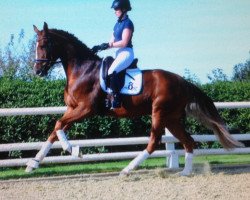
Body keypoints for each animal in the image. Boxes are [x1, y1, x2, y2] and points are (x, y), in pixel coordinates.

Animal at [26, 22, 243, 176]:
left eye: (44, 44)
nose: (37, 71)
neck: (82, 70)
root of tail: (183, 81)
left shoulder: (85, 109)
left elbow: (58, 125)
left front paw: (74, 150)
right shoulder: (73, 109)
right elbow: (56, 130)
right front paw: (33, 163)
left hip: (159, 113)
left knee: (154, 142)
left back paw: (127, 169)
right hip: (171, 118)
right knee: (189, 142)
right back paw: (185, 173)